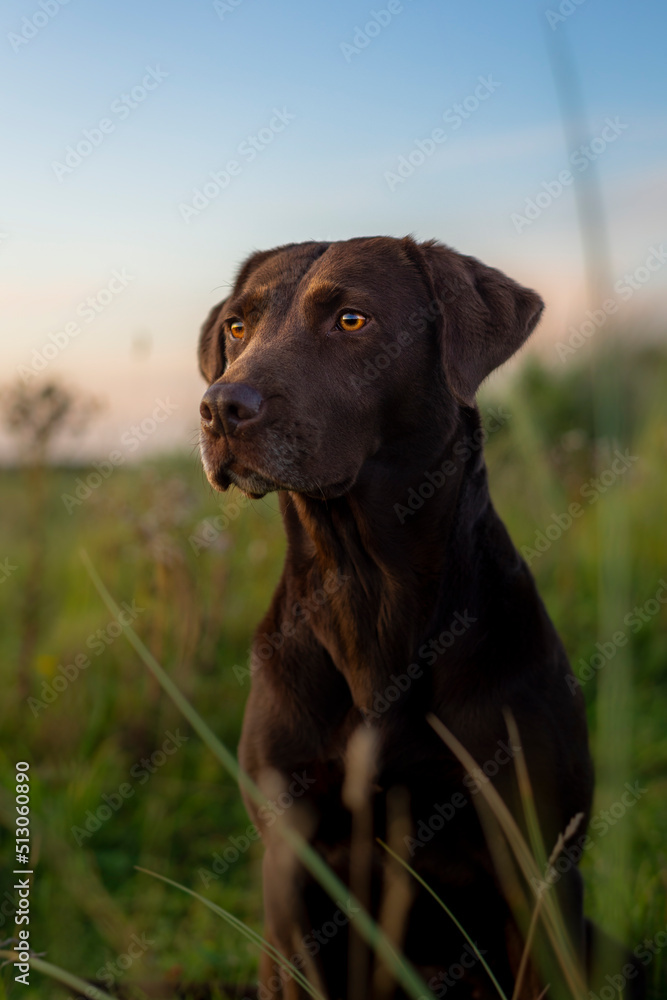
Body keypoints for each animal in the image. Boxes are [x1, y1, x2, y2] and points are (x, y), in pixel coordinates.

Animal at [196, 236, 644, 1000]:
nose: (221, 406)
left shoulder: (538, 862)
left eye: (351, 320)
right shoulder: (293, 865)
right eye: (237, 326)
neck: (368, 594)